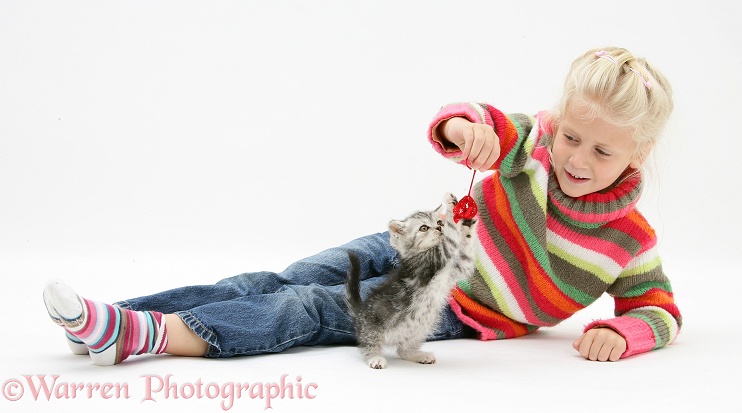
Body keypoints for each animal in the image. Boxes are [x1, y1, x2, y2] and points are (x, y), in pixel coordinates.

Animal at [348, 192, 480, 368]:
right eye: (424, 228)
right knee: (368, 344)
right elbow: (451, 238)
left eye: (438, 222)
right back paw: (375, 358)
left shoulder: (459, 267)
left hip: (418, 328)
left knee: (402, 350)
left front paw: (466, 225)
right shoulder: (436, 258)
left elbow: (465, 251)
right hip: (372, 327)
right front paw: (450, 206)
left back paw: (417, 355)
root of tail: (360, 313)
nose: (440, 228)